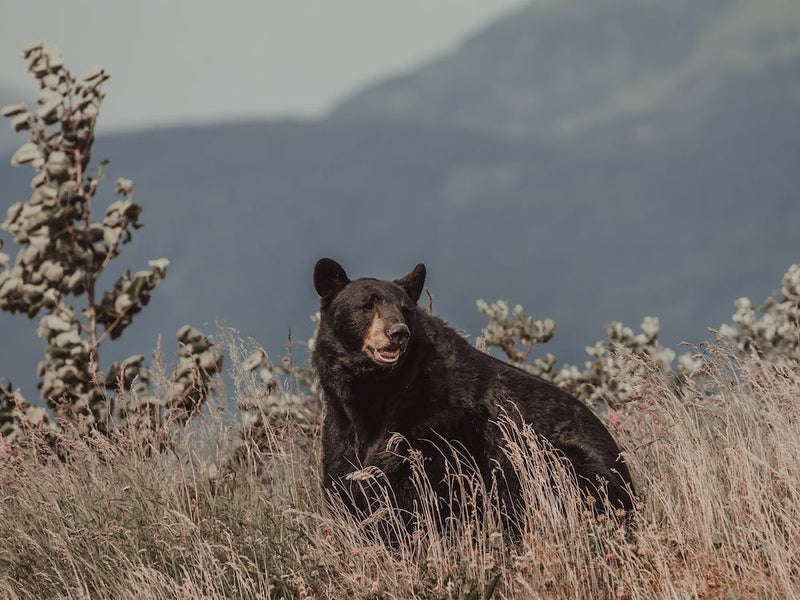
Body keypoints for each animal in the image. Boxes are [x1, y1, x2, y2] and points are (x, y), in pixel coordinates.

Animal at [311, 258, 635, 531]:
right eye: (367, 306)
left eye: (406, 309)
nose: (398, 332)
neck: (376, 392)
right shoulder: (340, 427)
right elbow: (345, 479)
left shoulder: (436, 426)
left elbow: (420, 486)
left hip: (560, 461)